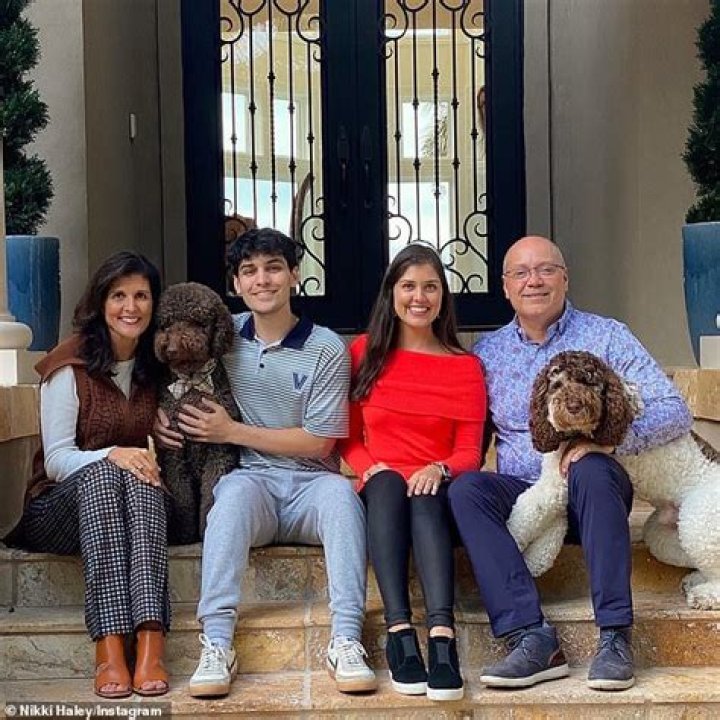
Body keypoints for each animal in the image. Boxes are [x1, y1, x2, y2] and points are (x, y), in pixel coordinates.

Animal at [154, 282, 241, 544]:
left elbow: (211, 494)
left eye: (197, 322)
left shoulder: (219, 452)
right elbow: (182, 496)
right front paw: (184, 534)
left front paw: (205, 530)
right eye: (166, 324)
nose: (171, 348)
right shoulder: (174, 452)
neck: (192, 384)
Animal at [506, 349, 720, 609]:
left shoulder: (555, 484)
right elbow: (547, 521)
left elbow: (526, 511)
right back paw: (696, 579)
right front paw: (533, 560)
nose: (574, 405)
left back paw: (705, 594)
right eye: (556, 385)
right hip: (662, 533)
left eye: (589, 381)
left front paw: (512, 540)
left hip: (698, 518)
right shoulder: (555, 483)